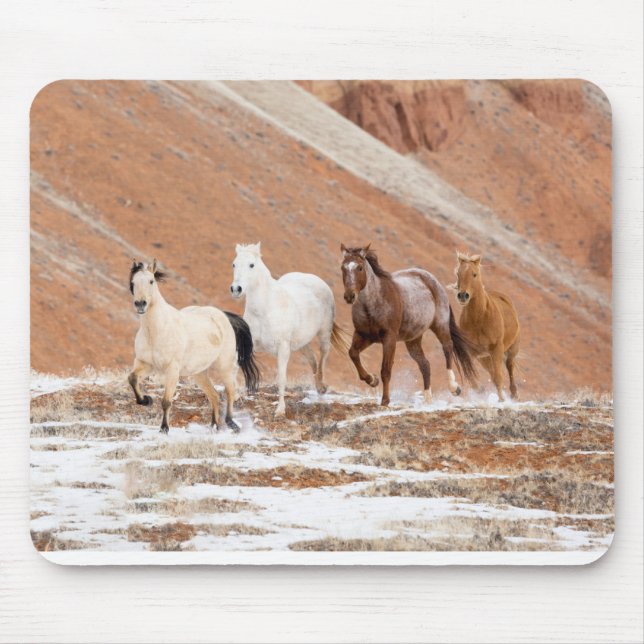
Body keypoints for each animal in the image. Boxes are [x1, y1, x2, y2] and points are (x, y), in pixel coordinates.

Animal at [128, 259, 260, 433]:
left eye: (151, 281)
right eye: (133, 282)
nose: (140, 304)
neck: (157, 330)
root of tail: (224, 316)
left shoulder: (172, 370)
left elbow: (166, 401)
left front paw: (164, 428)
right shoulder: (145, 364)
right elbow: (132, 379)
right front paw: (146, 400)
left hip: (224, 366)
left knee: (230, 391)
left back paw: (231, 423)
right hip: (199, 373)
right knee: (214, 395)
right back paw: (214, 426)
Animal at [230, 242, 350, 416]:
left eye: (251, 265)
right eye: (234, 264)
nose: (236, 289)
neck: (265, 309)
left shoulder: (283, 348)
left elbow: (281, 378)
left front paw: (280, 410)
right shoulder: (249, 344)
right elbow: (233, 368)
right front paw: (233, 398)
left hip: (324, 335)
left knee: (322, 357)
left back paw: (322, 387)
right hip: (301, 343)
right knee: (313, 360)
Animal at [340, 244, 477, 406]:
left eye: (359, 267)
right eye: (343, 268)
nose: (350, 296)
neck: (371, 305)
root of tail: (432, 280)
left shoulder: (389, 339)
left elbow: (385, 370)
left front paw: (385, 401)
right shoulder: (363, 335)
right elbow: (353, 353)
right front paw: (372, 380)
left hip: (440, 325)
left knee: (447, 348)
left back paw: (454, 388)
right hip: (413, 340)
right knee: (425, 364)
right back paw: (428, 400)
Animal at [452, 252, 520, 401]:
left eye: (474, 274)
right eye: (458, 274)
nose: (462, 296)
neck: (479, 319)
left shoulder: (497, 348)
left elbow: (499, 378)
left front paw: (501, 400)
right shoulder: (471, 352)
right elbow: (473, 379)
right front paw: (480, 391)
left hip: (511, 350)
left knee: (510, 367)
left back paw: (514, 394)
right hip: (485, 358)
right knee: (493, 373)